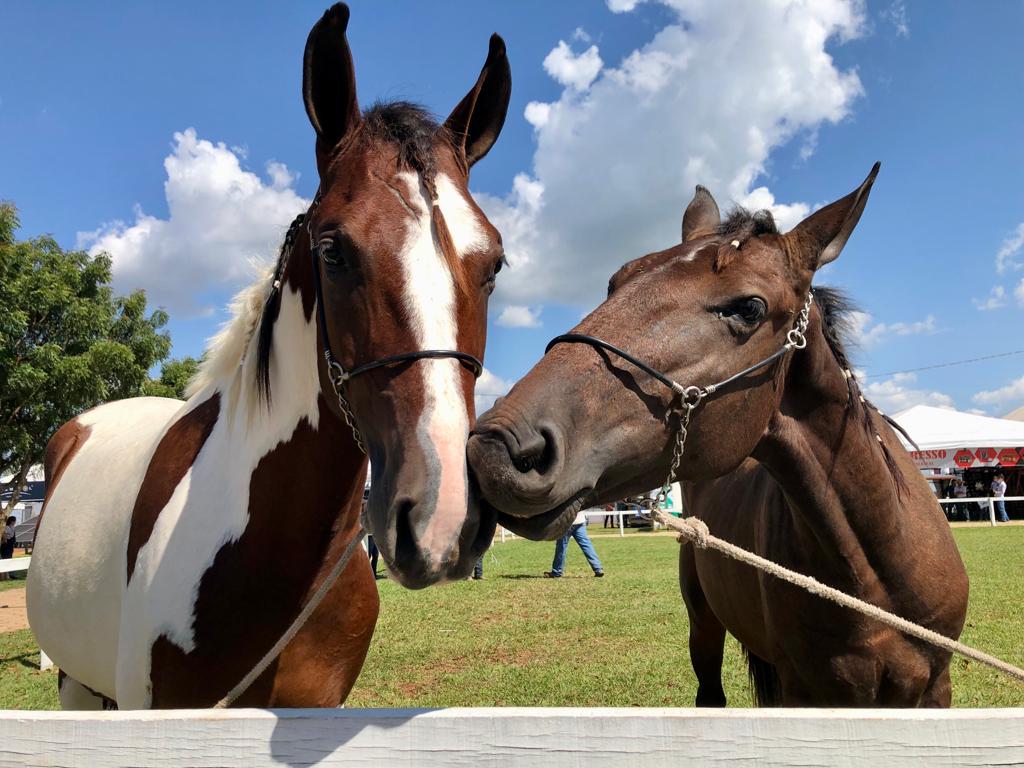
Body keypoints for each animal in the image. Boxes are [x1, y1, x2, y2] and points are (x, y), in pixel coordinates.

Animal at [468, 165, 966, 708]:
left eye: (749, 308)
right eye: (615, 281)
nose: (499, 444)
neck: (874, 573)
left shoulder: (935, 688)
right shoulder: (803, 689)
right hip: (703, 623)